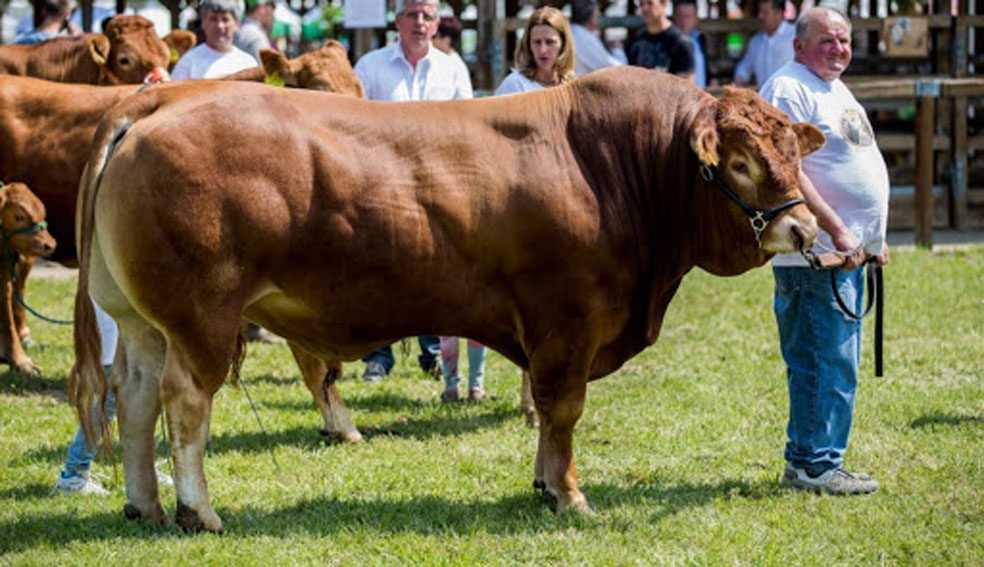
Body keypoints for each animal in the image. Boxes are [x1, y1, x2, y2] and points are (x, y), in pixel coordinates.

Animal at [71, 69, 824, 536]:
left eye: (793, 153)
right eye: (738, 163)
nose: (804, 231)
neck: (613, 165)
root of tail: (159, 101)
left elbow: (547, 414)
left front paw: (543, 485)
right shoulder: (570, 322)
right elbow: (564, 410)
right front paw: (571, 495)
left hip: (142, 322)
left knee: (133, 396)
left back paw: (146, 505)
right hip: (202, 319)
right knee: (183, 402)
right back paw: (198, 511)